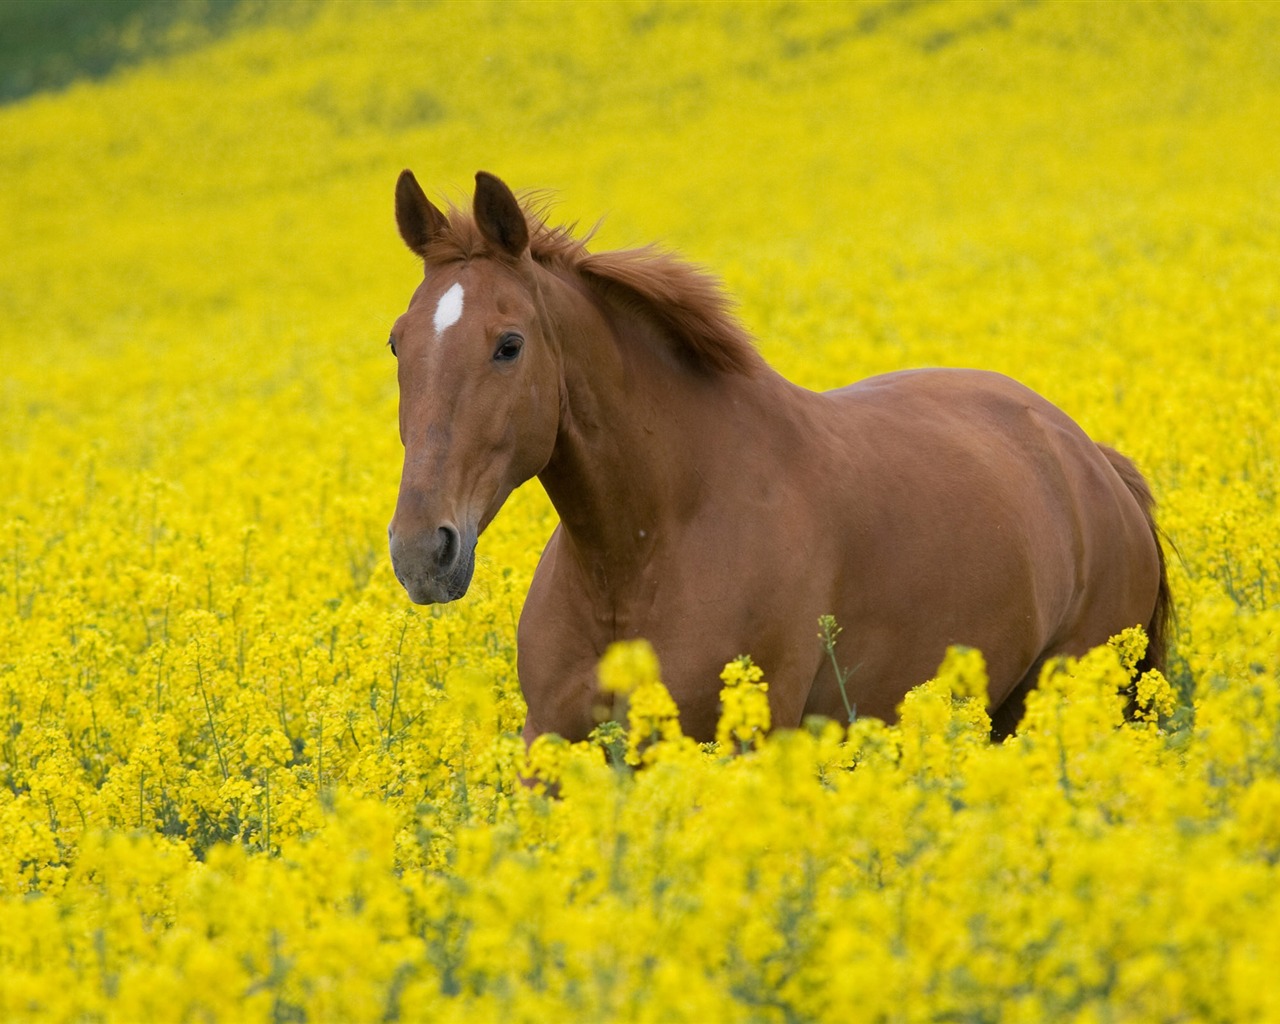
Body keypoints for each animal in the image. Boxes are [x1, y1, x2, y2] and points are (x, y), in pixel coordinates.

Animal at [386, 170, 1172, 742]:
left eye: (509, 344)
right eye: (398, 342)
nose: (422, 551)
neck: (641, 553)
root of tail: (1092, 460)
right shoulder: (549, 745)